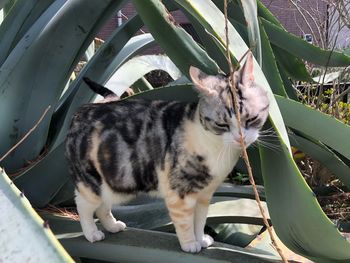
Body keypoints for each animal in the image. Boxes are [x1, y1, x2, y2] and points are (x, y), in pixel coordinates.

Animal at [65, 52, 268, 255]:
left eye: (252, 119)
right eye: (222, 125)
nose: (240, 138)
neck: (218, 149)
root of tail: (83, 109)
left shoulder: (204, 195)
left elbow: (200, 220)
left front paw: (201, 239)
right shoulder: (180, 195)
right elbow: (185, 223)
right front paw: (190, 244)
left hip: (116, 182)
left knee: (102, 207)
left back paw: (113, 226)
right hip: (93, 183)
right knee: (83, 204)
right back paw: (91, 233)